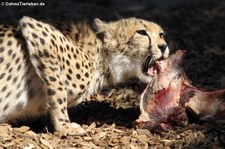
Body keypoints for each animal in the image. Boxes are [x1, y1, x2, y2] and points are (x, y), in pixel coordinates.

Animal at [0, 16, 169, 135]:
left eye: (161, 34)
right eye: (141, 32)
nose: (164, 46)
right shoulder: (37, 29)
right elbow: (59, 91)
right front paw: (64, 126)